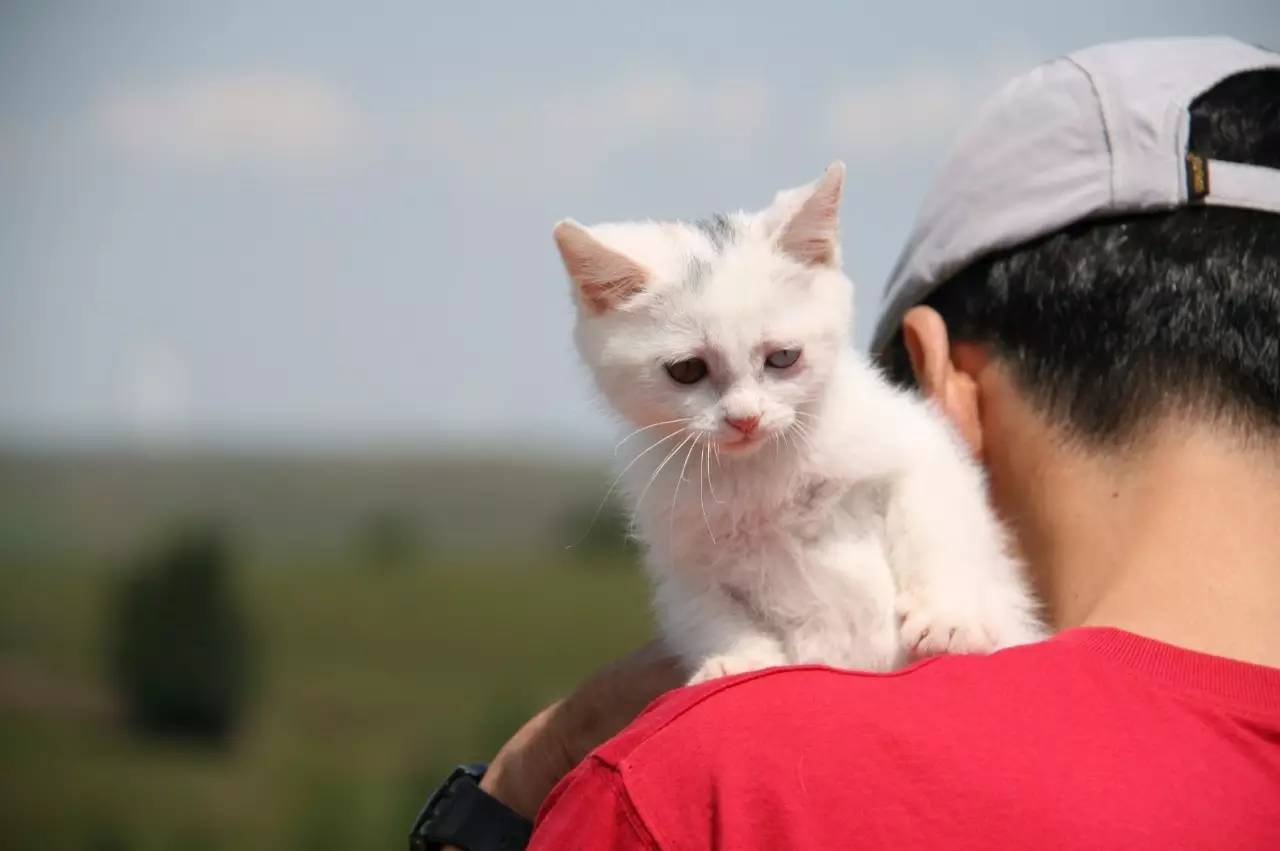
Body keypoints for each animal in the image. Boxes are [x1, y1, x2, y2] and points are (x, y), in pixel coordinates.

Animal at [555, 163, 1044, 685]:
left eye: (783, 358)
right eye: (687, 370)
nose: (744, 418)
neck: (762, 468)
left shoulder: (918, 446)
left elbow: (935, 524)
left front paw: (949, 618)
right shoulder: (683, 551)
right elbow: (707, 609)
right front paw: (740, 658)